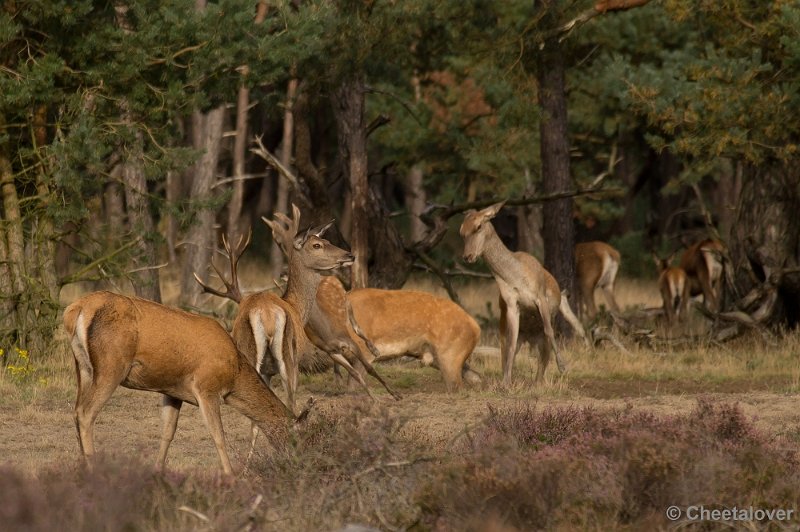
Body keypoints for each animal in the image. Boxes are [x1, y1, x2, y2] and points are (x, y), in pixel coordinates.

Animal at [62, 290, 304, 474]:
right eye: (297, 438)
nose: (298, 462)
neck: (234, 373)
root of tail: (76, 310)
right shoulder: (206, 387)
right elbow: (218, 435)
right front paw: (231, 475)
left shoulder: (172, 391)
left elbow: (168, 432)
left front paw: (158, 470)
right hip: (111, 366)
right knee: (86, 412)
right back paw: (93, 469)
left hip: (82, 368)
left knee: (75, 410)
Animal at [306, 276, 482, 392]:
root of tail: (476, 328)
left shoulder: (365, 352)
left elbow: (354, 386)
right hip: (441, 357)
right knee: (475, 377)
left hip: (450, 355)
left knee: (457, 386)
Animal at [460, 202, 584, 384]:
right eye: (461, 230)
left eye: (478, 226)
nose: (467, 256)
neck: (515, 279)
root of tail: (530, 339)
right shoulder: (511, 304)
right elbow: (511, 343)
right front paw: (506, 382)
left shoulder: (540, 297)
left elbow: (549, 331)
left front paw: (563, 367)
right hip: (508, 325)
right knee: (507, 346)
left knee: (544, 351)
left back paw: (539, 381)